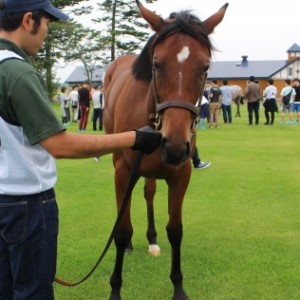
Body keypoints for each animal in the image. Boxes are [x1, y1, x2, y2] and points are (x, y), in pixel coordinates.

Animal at [103, 1, 227, 298]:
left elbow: (176, 230)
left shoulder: (180, 174)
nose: (175, 144)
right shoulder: (123, 171)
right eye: (156, 65)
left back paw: (152, 238)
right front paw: (115, 289)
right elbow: (121, 230)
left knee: (149, 193)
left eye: (205, 68)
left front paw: (178, 287)